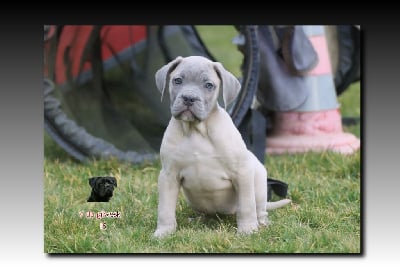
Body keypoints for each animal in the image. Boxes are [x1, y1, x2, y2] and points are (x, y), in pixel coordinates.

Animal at [154, 55, 290, 237]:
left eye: (209, 85)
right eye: (177, 80)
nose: (189, 98)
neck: (196, 130)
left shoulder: (242, 172)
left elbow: (246, 206)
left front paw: (247, 229)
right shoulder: (168, 175)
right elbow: (165, 208)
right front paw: (164, 232)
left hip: (259, 184)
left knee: (258, 209)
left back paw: (262, 223)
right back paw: (196, 219)